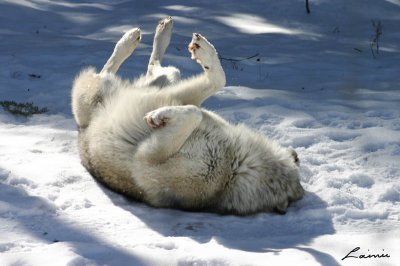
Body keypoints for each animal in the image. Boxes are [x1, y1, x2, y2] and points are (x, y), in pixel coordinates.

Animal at [72, 17, 304, 215]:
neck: (236, 164)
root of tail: (80, 132)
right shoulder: (190, 101)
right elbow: (216, 83)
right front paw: (204, 52)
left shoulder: (146, 159)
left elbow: (194, 113)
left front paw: (158, 116)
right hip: (169, 84)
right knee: (153, 67)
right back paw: (152, 32)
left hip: (96, 93)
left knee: (111, 71)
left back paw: (136, 38)